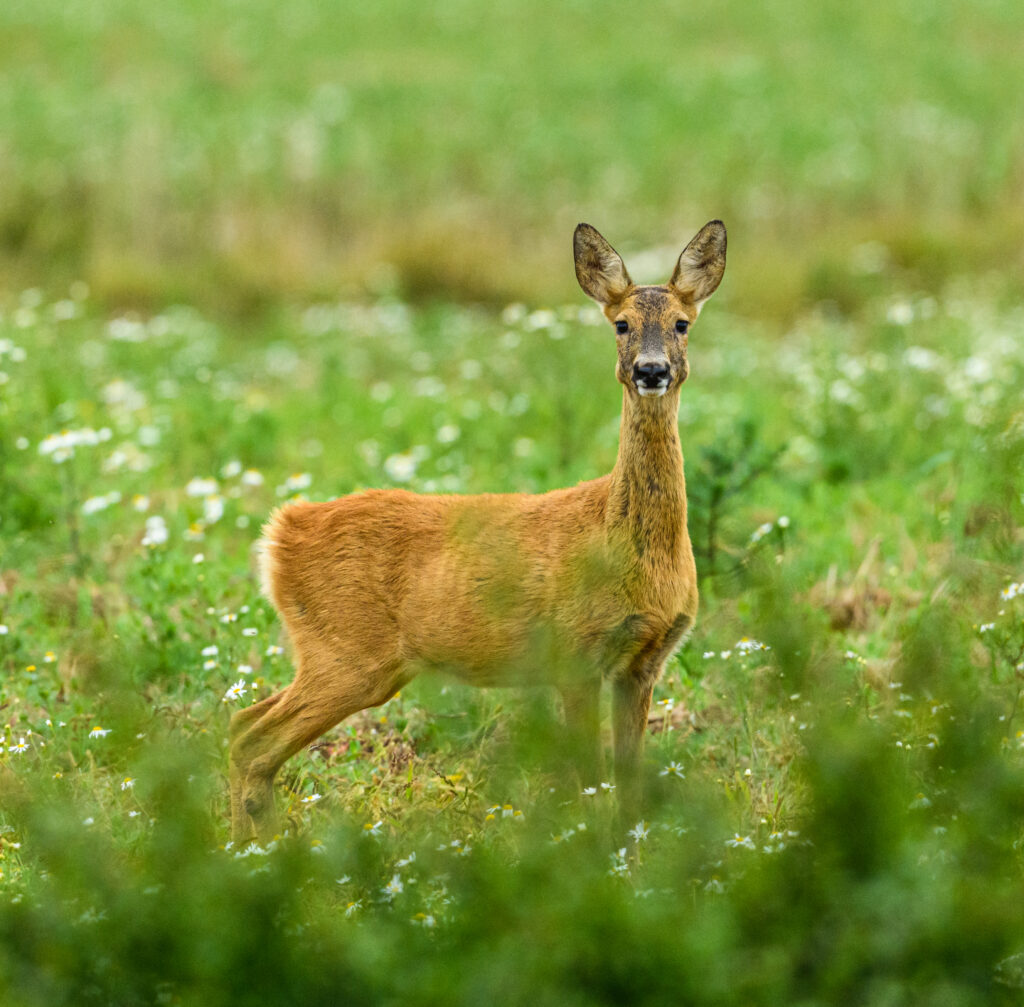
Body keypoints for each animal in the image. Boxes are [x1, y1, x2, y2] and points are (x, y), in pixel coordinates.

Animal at [232, 222, 729, 844]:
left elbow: (630, 789)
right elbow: (590, 782)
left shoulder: (642, 664)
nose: (651, 370)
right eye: (621, 323)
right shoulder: (575, 651)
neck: (628, 549)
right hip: (348, 653)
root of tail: (281, 532)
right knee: (252, 740)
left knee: (241, 723)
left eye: (683, 322)